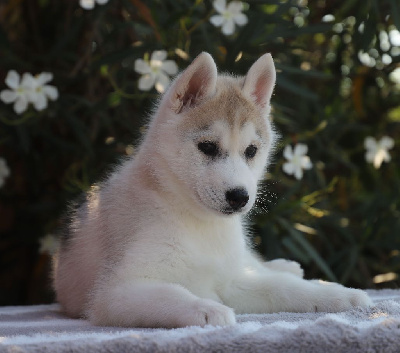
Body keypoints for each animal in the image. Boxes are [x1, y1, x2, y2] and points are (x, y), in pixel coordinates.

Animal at [53, 52, 372, 328]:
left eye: (251, 151)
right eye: (207, 147)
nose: (240, 197)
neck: (196, 222)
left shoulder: (230, 281)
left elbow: (282, 287)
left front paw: (338, 294)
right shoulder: (116, 292)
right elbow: (172, 293)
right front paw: (207, 310)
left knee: (261, 266)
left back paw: (289, 267)